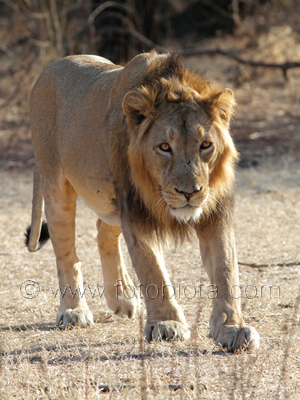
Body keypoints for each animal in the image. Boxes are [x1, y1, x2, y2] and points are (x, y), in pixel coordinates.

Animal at [26, 49, 260, 350]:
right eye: (164, 147)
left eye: (206, 145)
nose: (189, 192)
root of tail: (52, 66)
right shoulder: (134, 211)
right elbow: (153, 270)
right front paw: (166, 324)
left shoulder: (214, 211)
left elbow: (226, 268)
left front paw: (233, 328)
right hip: (56, 185)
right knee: (66, 253)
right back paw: (73, 311)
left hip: (110, 202)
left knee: (103, 234)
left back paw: (122, 299)